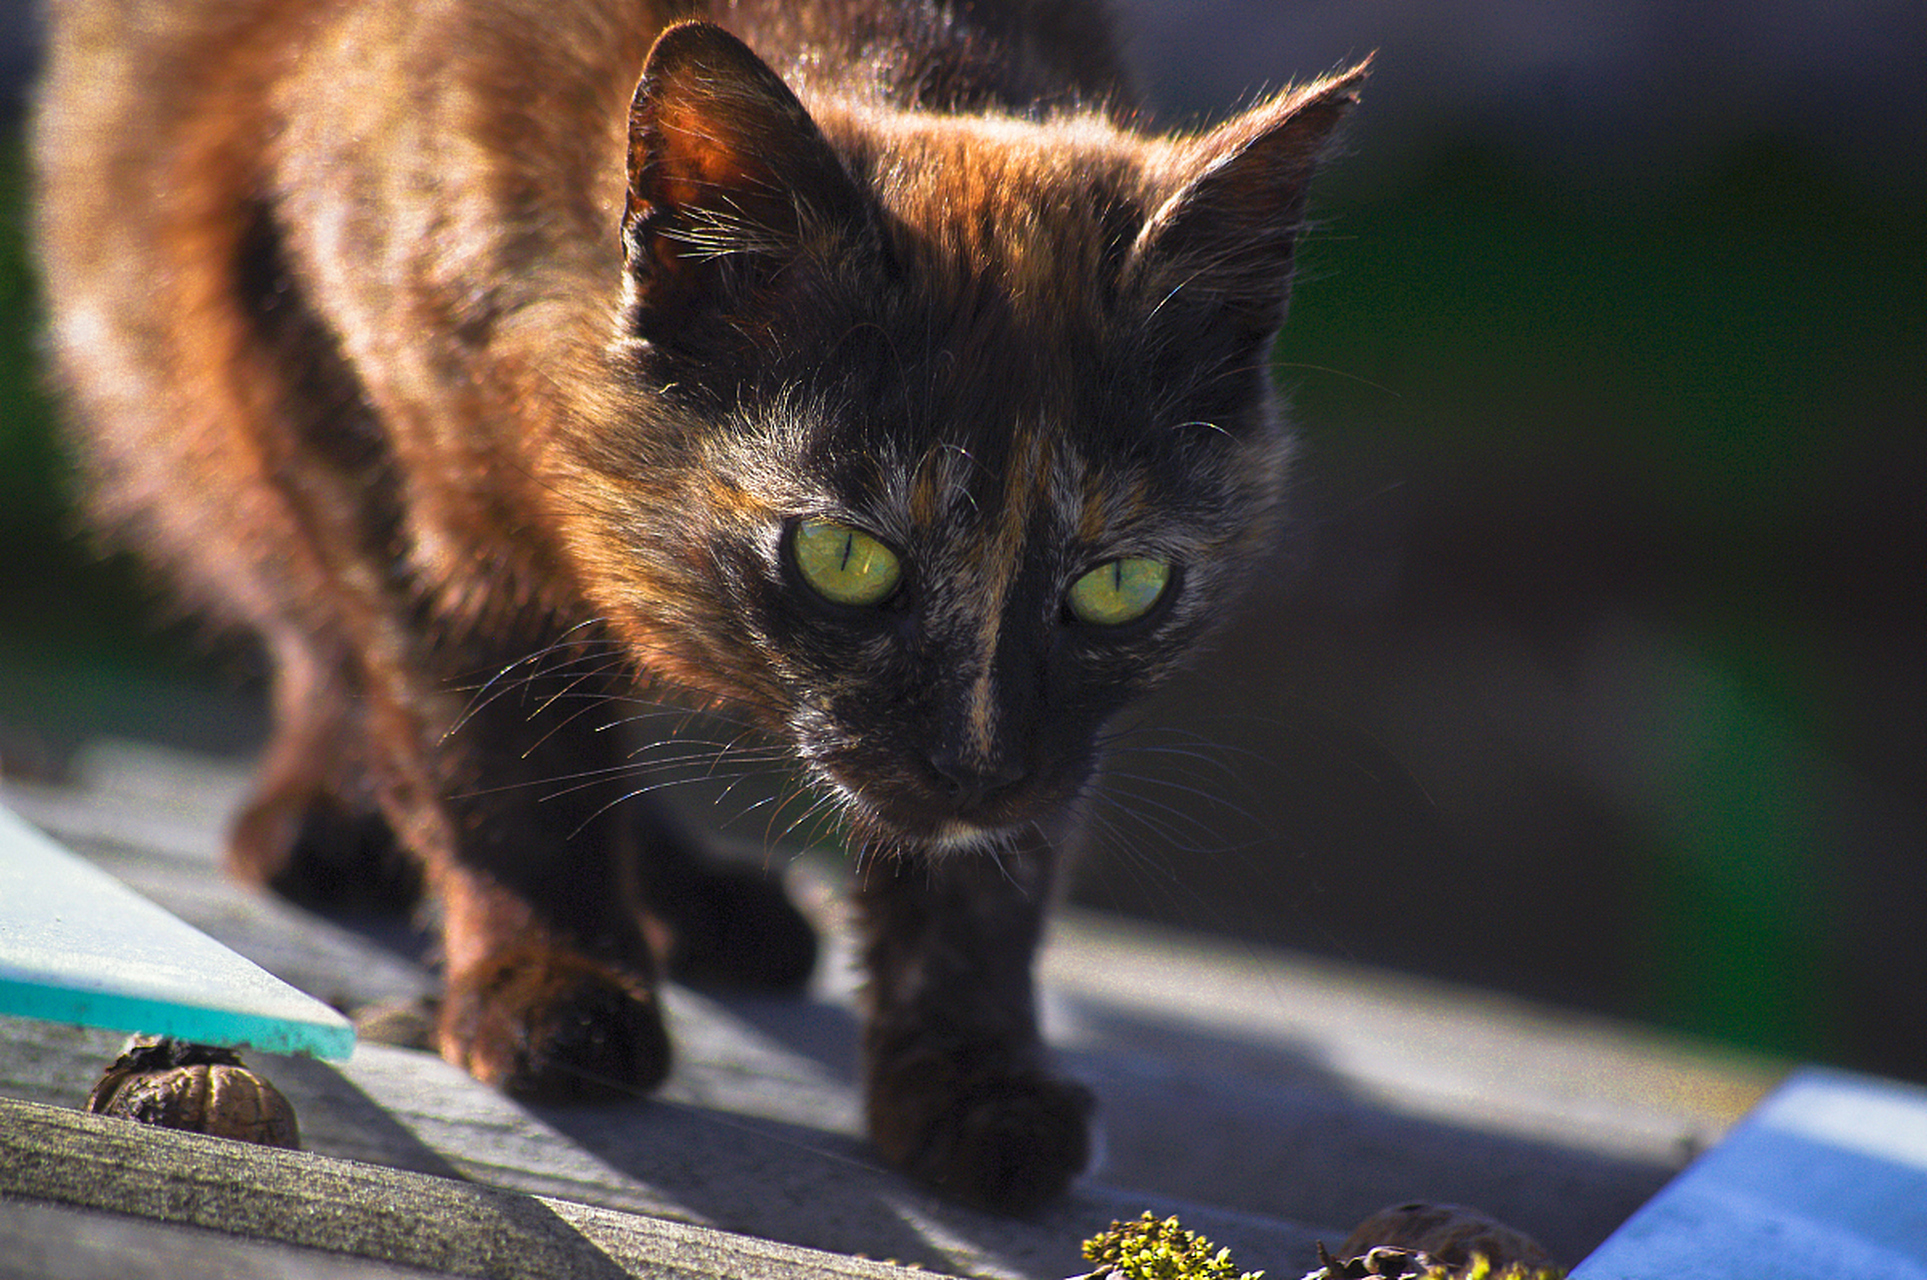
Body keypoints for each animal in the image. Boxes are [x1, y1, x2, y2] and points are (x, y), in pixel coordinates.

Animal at [26, 0, 1356, 1210]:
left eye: (1119, 585)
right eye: (844, 557)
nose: (976, 769)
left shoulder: (1053, 743)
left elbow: (996, 872)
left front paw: (973, 1075)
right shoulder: (328, 365)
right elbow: (485, 734)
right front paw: (548, 976)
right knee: (330, 624)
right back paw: (329, 818)